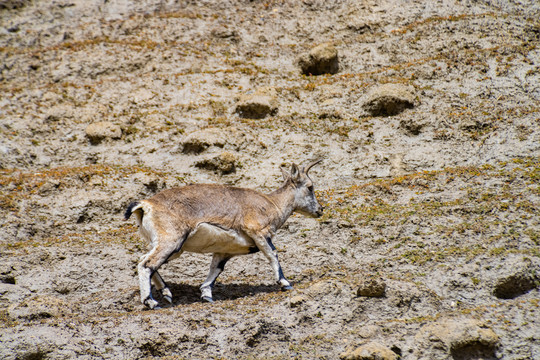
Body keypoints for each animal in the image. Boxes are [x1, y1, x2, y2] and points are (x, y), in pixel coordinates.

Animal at [124, 160, 322, 310]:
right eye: (310, 187)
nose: (320, 210)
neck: (272, 204)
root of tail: (145, 205)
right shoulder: (258, 231)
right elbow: (272, 254)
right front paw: (285, 283)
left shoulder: (225, 250)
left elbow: (216, 269)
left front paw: (206, 295)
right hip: (171, 241)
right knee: (146, 264)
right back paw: (151, 301)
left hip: (171, 246)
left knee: (145, 260)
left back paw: (166, 293)